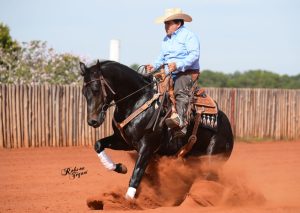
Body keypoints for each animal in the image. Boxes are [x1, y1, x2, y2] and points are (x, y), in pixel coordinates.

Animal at [79, 59, 234, 199]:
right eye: (83, 92)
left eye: (96, 89)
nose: (92, 121)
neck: (137, 101)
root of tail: (228, 127)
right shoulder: (124, 142)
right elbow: (98, 144)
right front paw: (120, 168)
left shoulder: (147, 146)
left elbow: (137, 173)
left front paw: (128, 199)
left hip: (212, 160)